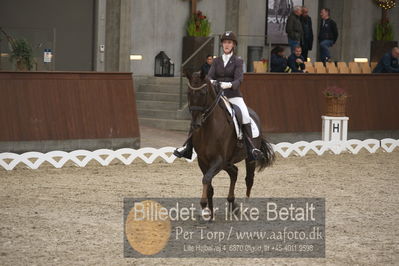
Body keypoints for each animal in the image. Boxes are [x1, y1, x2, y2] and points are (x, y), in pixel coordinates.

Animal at [185, 71, 276, 219]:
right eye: (188, 92)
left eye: (203, 92)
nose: (195, 124)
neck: (208, 128)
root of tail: (254, 113)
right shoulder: (203, 161)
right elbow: (209, 184)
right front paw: (209, 212)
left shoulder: (218, 160)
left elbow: (206, 179)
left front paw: (204, 205)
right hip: (227, 162)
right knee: (234, 172)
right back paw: (233, 204)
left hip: (248, 158)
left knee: (248, 179)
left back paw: (246, 206)